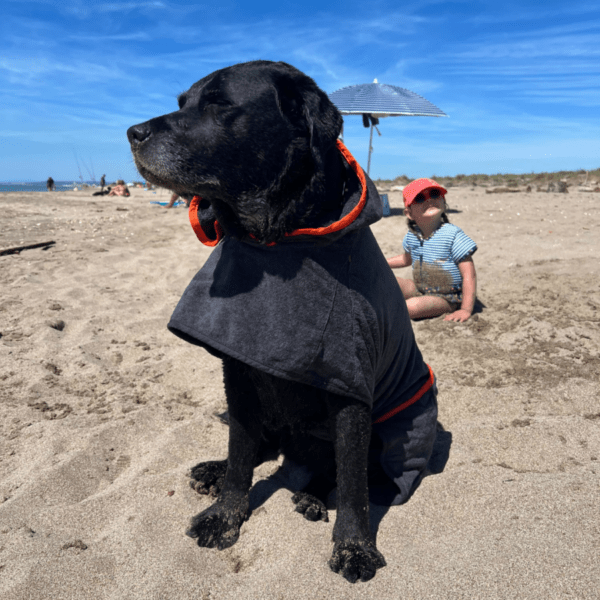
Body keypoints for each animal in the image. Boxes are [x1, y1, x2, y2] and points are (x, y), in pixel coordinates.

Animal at [126, 59, 436, 580]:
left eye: (219, 103)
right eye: (182, 102)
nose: (133, 132)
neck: (276, 239)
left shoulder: (350, 386)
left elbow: (353, 484)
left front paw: (353, 546)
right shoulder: (238, 374)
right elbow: (240, 455)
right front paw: (225, 514)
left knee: (337, 472)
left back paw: (311, 497)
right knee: (262, 447)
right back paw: (214, 470)